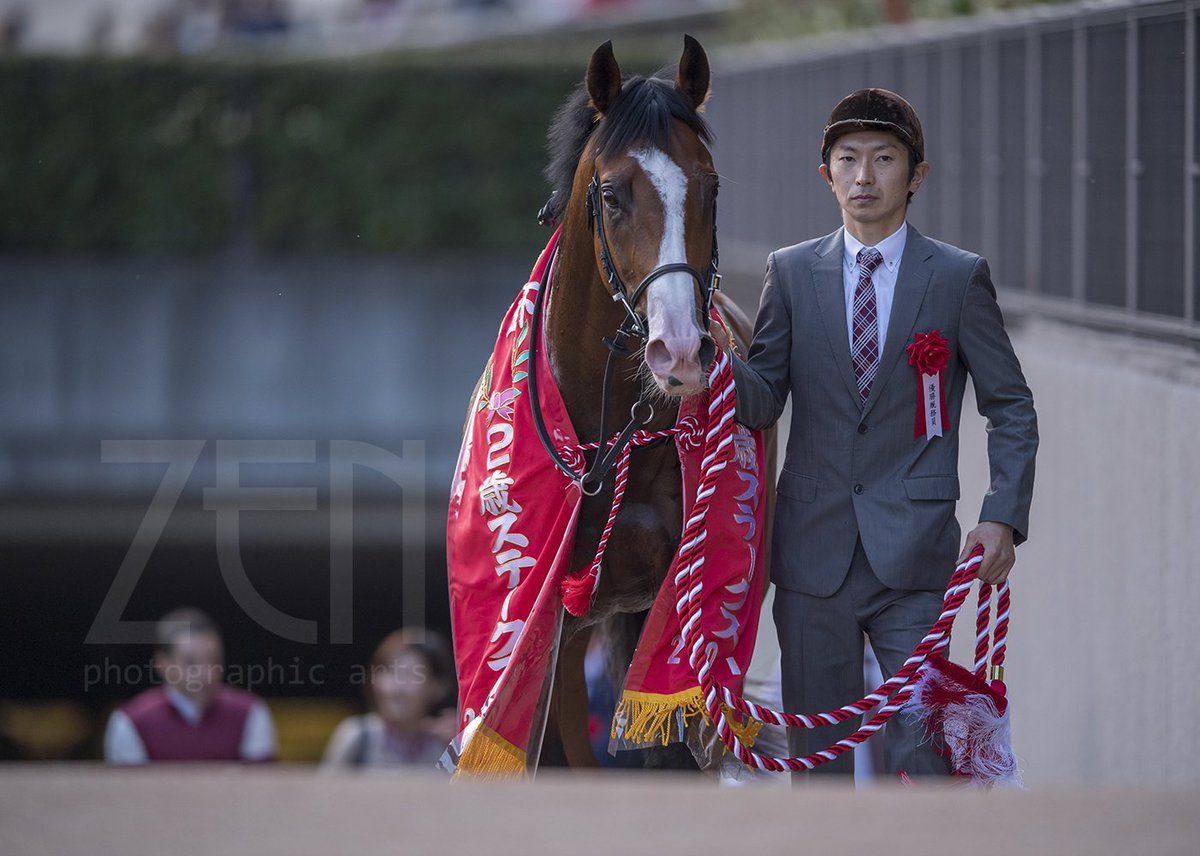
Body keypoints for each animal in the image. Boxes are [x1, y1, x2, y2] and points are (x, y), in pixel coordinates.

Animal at [466, 36, 774, 771]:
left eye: (711, 187)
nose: (680, 349)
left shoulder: (667, 607)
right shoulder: (543, 620)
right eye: (611, 194)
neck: (610, 441)